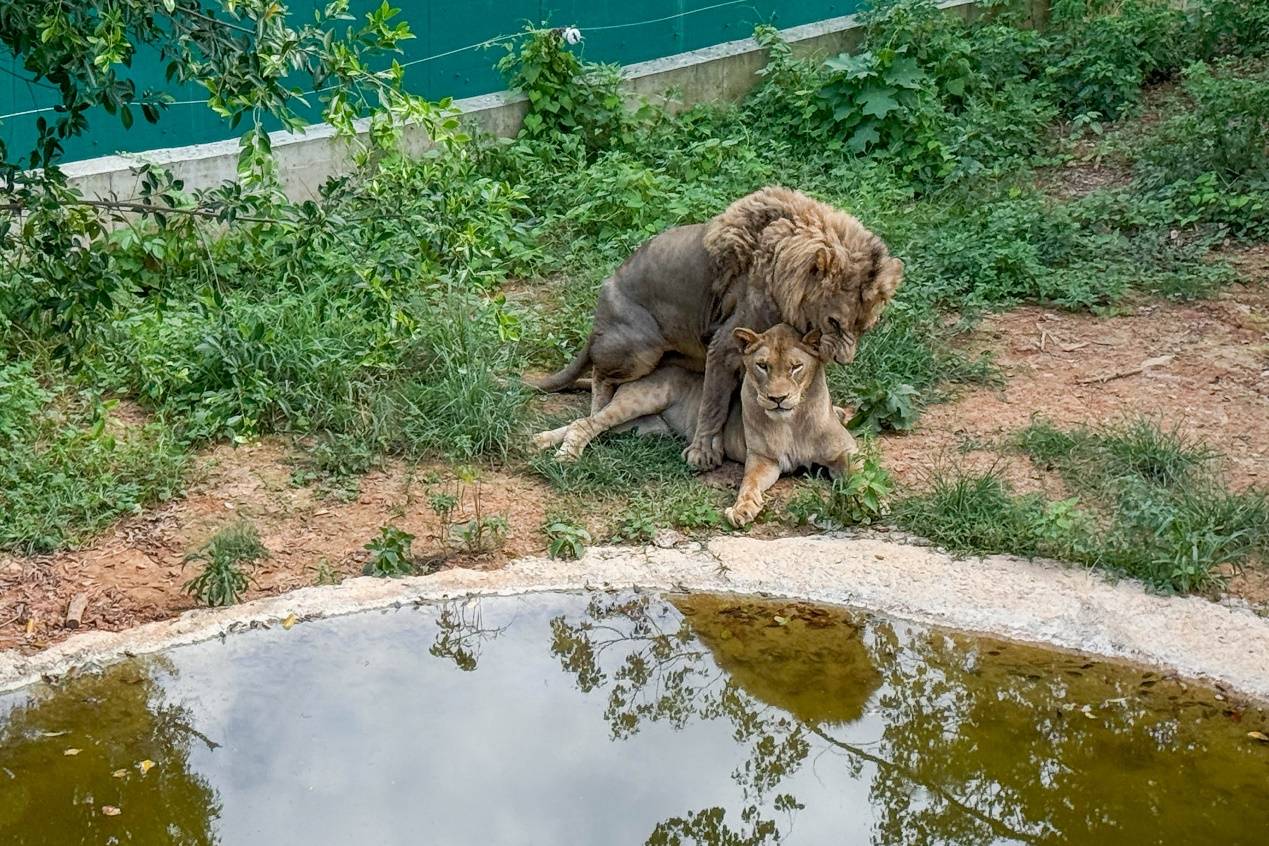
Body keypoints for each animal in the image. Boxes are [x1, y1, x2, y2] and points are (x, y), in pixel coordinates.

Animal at [530, 186, 898, 474]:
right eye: (835, 322)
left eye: (865, 327)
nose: (845, 361)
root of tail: (598, 318)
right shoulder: (725, 344)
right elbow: (714, 400)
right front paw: (703, 452)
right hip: (641, 347)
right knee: (601, 377)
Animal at [530, 322, 857, 525]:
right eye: (762, 366)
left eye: (795, 367)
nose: (777, 399)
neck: (792, 421)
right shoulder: (763, 459)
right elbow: (748, 484)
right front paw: (742, 509)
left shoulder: (846, 451)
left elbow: (856, 473)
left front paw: (859, 497)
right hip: (642, 400)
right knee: (584, 423)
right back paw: (562, 453)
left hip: (639, 426)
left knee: (589, 424)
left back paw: (541, 440)